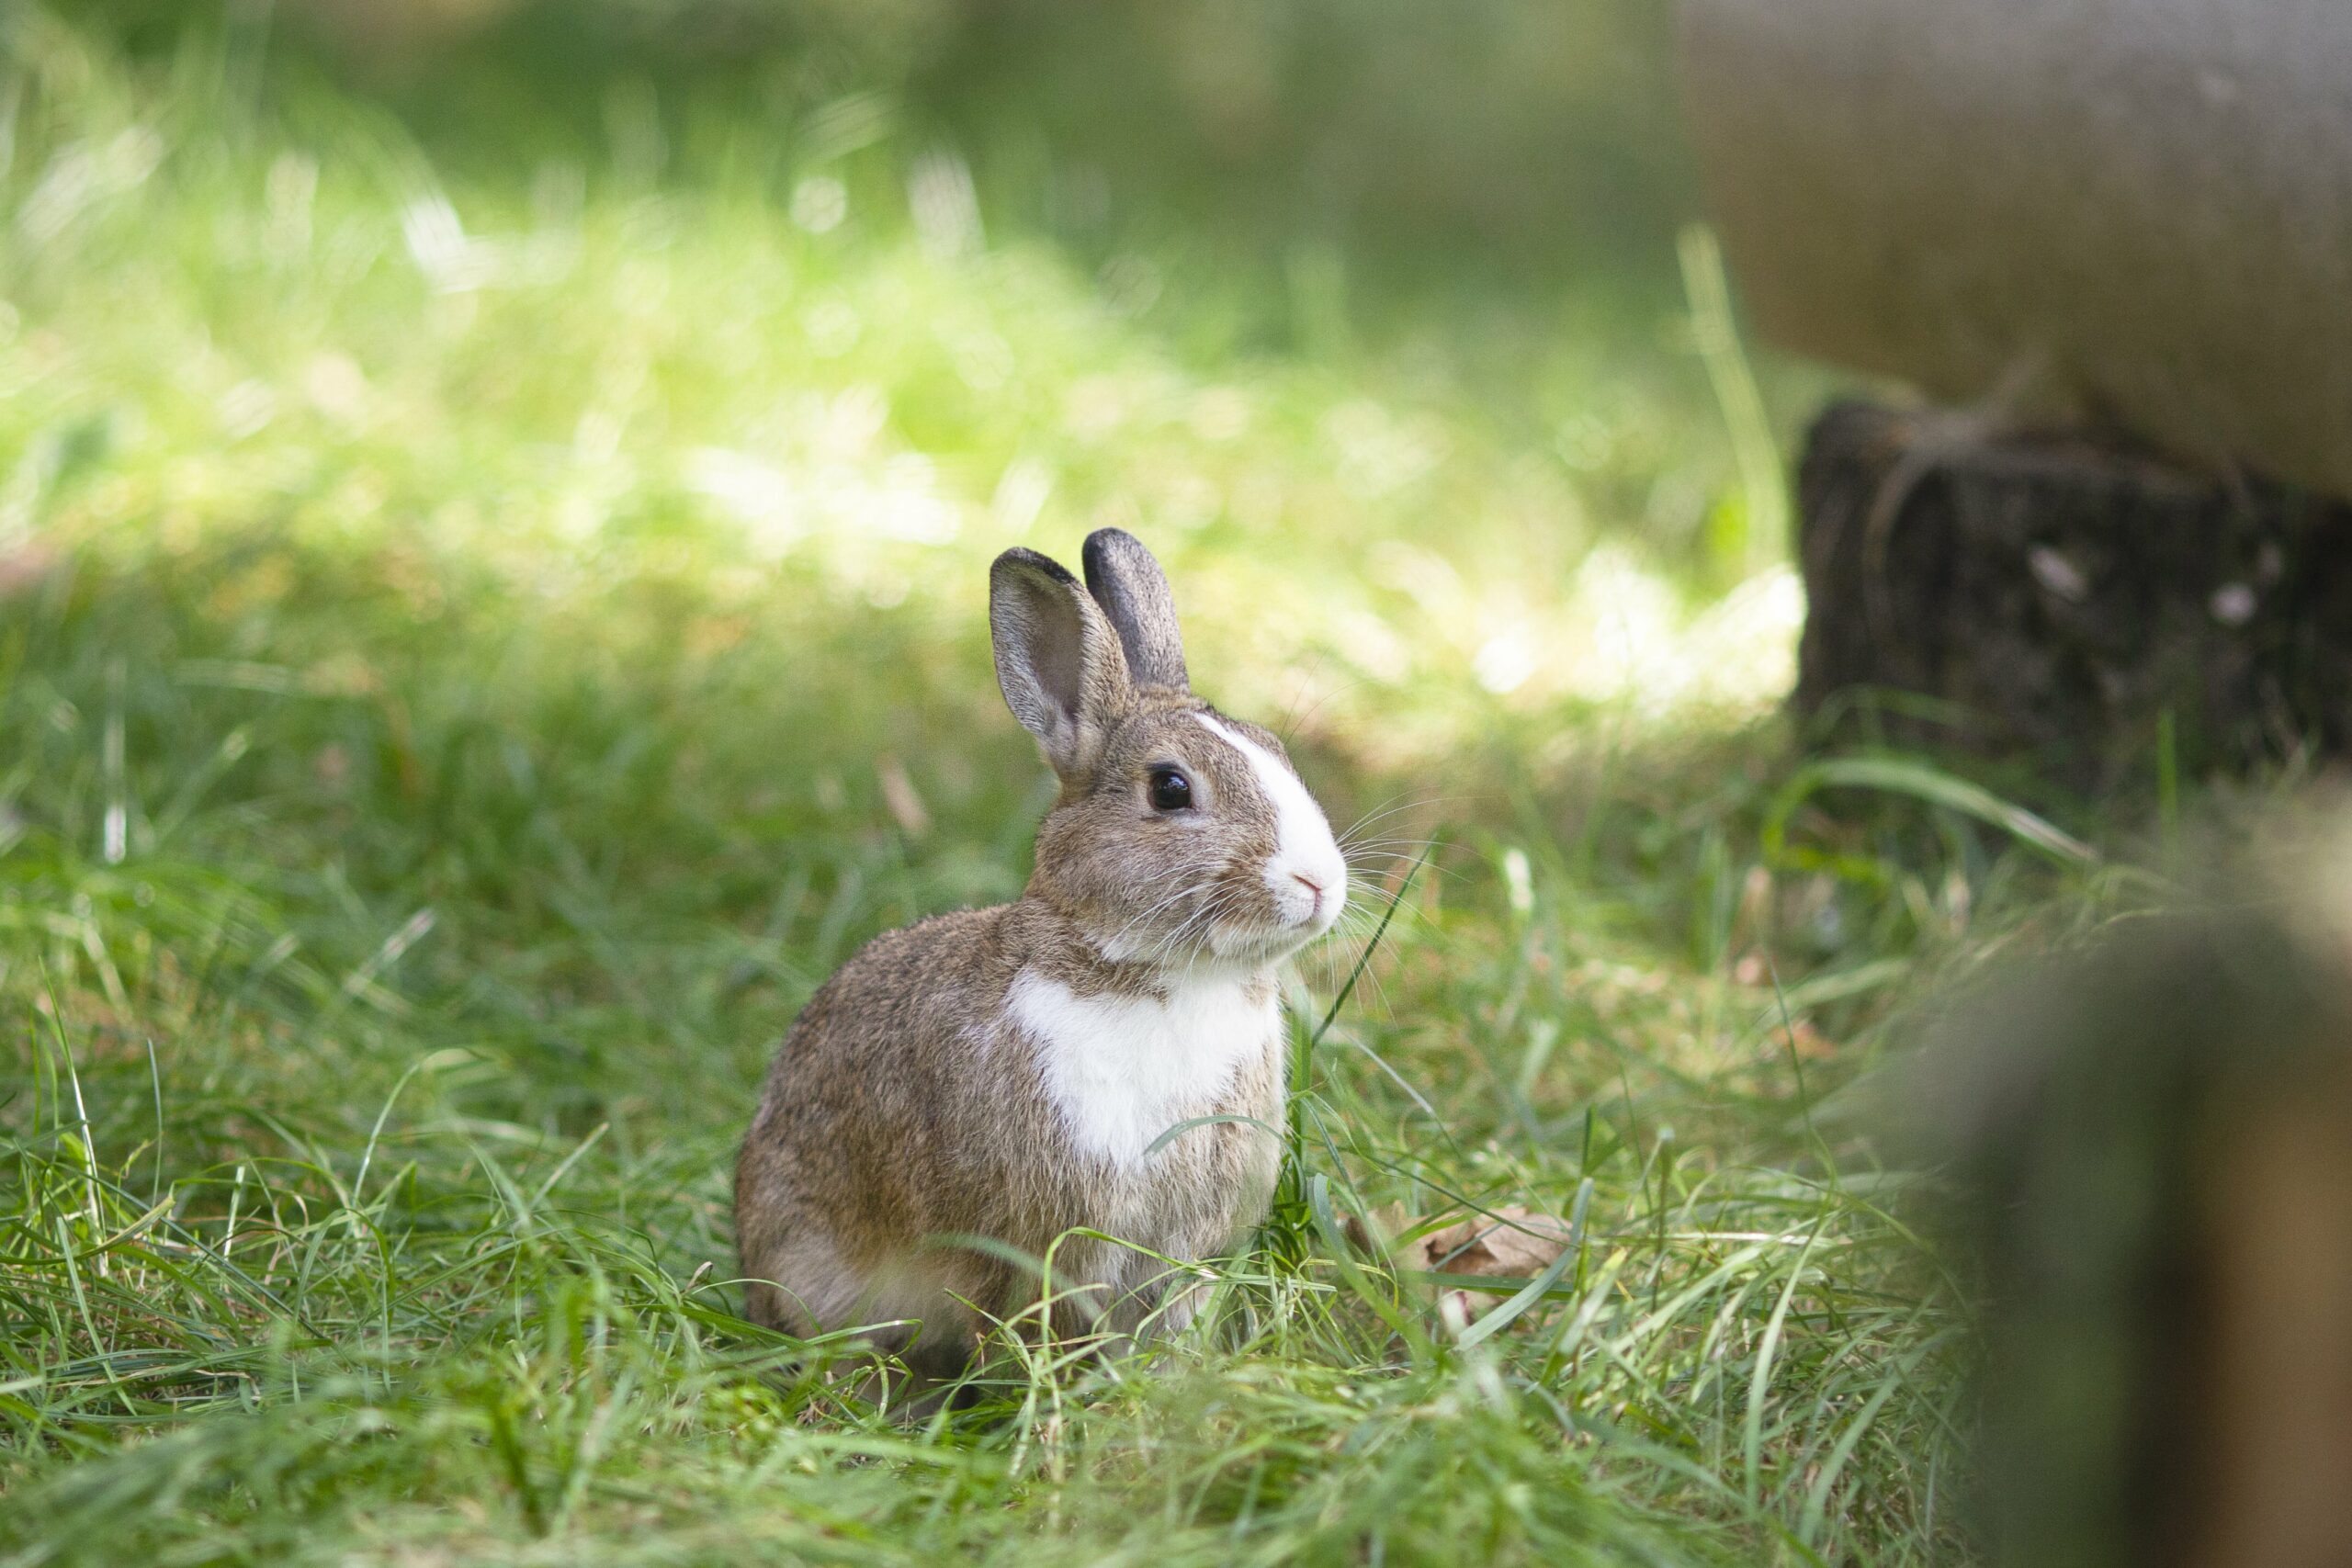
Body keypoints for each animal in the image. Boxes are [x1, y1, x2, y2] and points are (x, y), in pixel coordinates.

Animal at [733, 531, 1363, 1382]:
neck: (1161, 978)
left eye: (1276, 749)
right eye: (1170, 788)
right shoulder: (1036, 1239)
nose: (1319, 882)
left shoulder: (1184, 1242)